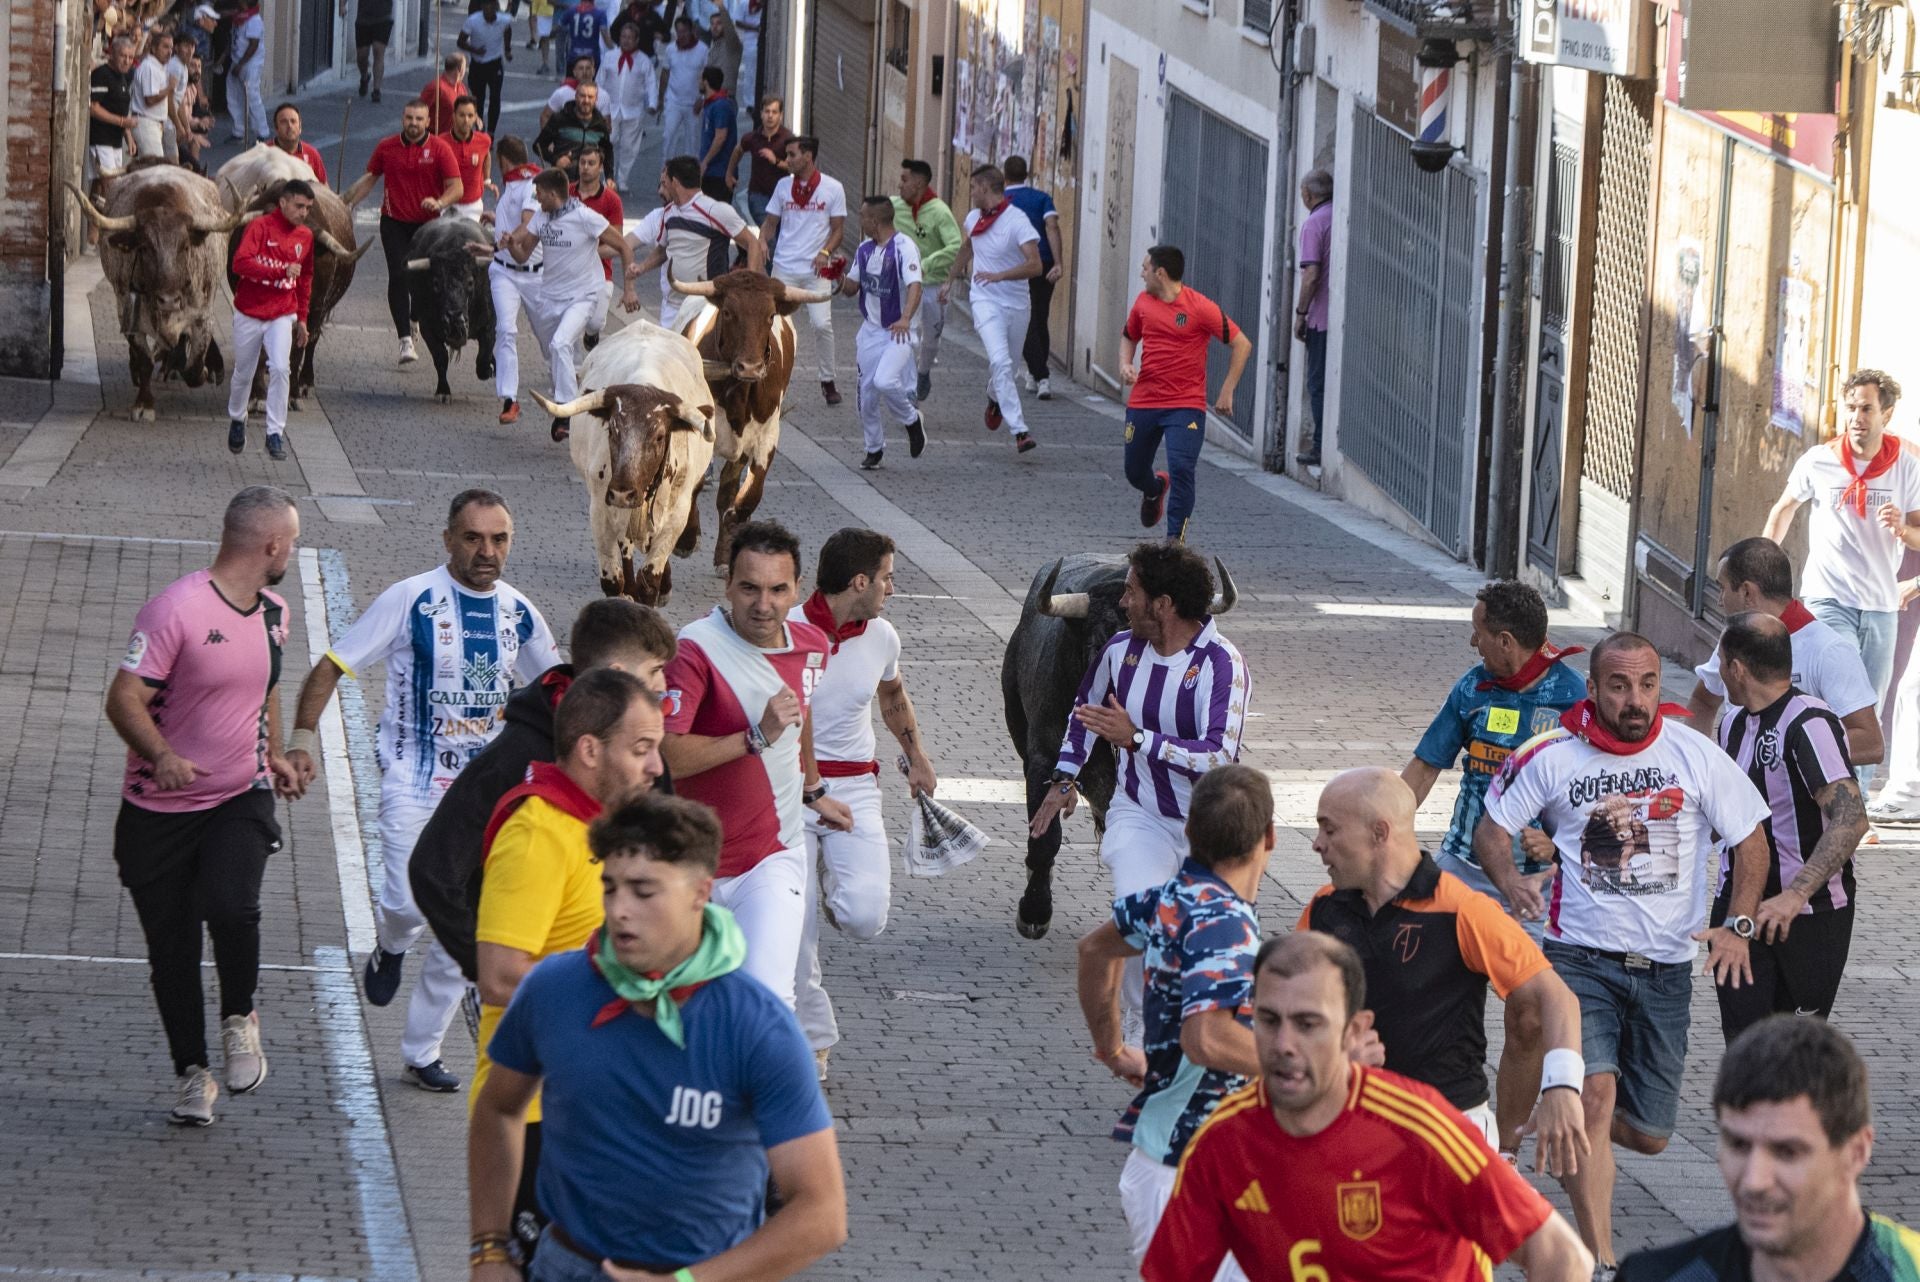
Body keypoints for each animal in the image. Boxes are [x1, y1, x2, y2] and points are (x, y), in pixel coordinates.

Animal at [69, 166, 247, 420]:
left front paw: (203, 370)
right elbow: (144, 361)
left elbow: (193, 368)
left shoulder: (203, 317)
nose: (169, 300)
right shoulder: (128, 314)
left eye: (185, 247)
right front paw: (144, 404)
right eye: (144, 248)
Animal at [232, 180, 370, 408]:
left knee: (311, 342)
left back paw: (305, 382)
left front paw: (293, 393)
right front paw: (257, 394)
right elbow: (259, 350)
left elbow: (299, 348)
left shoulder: (314, 308)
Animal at [668, 266, 833, 571]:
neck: (739, 391)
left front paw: (735, 523)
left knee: (727, 488)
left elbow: (748, 494)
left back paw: (724, 553)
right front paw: (686, 539)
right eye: (728, 312)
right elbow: (695, 484)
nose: (751, 367)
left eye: (770, 315)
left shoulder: (767, 436)